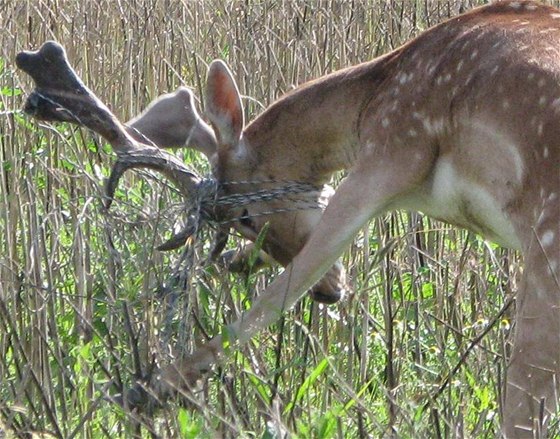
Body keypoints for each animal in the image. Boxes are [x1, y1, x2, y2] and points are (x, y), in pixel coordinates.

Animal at [16, 1, 560, 438]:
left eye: (243, 217)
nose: (331, 294)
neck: (372, 99)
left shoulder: (391, 150)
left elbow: (279, 294)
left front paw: (148, 390)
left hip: (547, 238)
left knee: (522, 407)